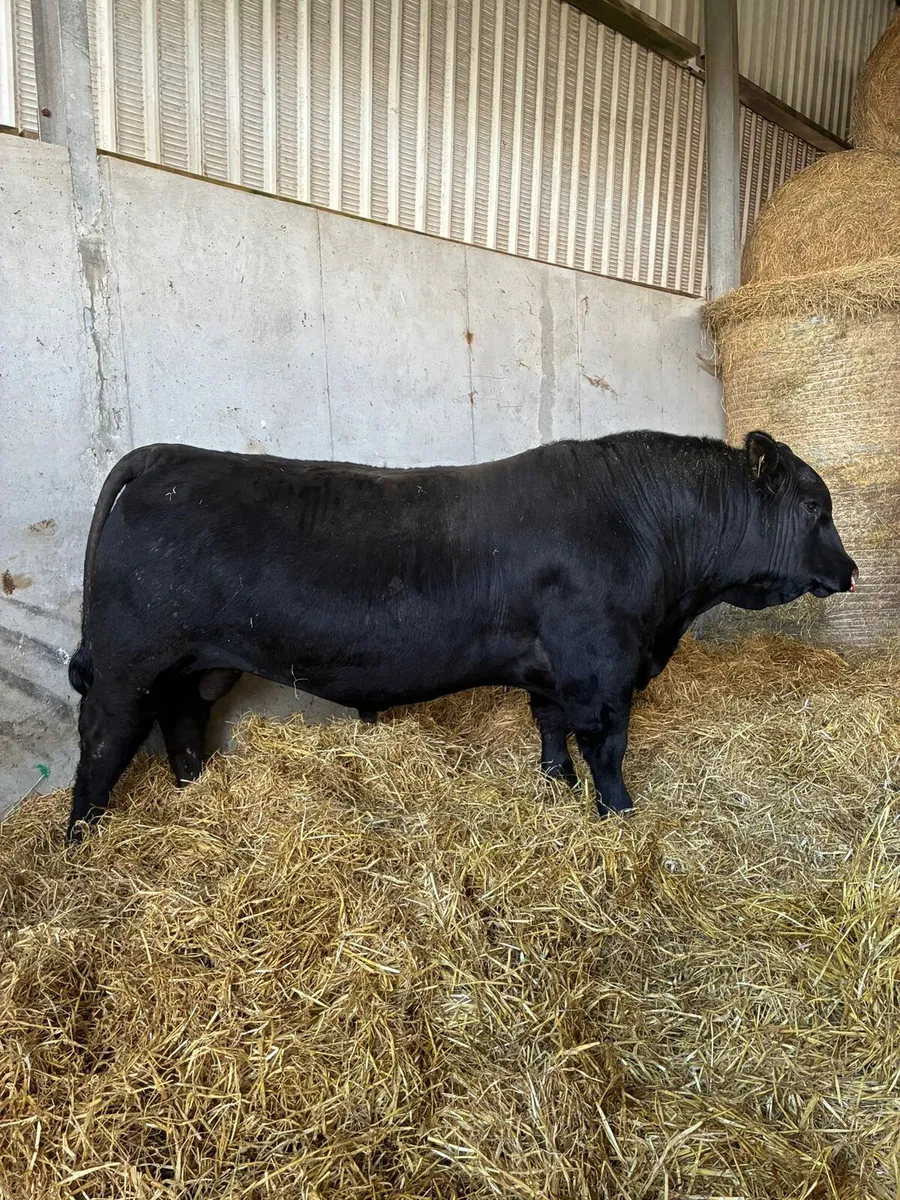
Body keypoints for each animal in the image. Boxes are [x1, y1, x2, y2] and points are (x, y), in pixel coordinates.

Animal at [65, 430, 857, 843]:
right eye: (816, 506)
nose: (851, 571)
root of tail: (168, 454)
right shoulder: (600, 669)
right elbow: (605, 747)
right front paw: (620, 818)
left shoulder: (552, 671)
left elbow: (551, 733)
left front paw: (555, 790)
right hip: (130, 664)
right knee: (102, 747)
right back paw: (81, 843)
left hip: (194, 667)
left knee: (182, 725)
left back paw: (193, 797)